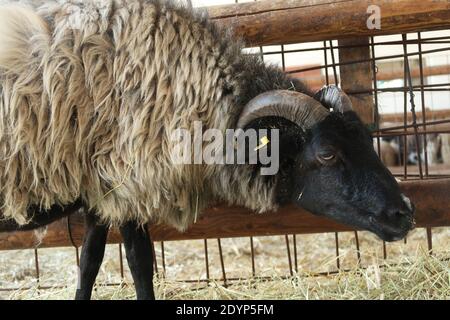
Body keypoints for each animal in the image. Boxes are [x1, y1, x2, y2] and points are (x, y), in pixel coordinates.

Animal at [0, 0, 414, 300]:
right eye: (327, 153)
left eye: (366, 139)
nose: (405, 212)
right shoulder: (128, 187)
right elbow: (139, 263)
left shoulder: (99, 192)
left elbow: (89, 261)